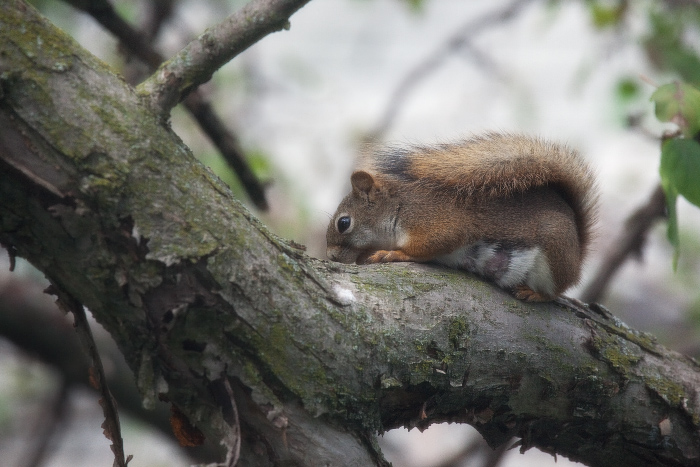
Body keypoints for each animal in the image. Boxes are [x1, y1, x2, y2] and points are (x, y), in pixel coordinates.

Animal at [326, 133, 596, 302]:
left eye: (343, 223)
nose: (330, 256)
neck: (400, 206)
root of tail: (578, 252)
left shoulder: (437, 221)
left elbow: (430, 246)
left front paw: (392, 254)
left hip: (554, 251)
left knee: (556, 291)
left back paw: (536, 294)